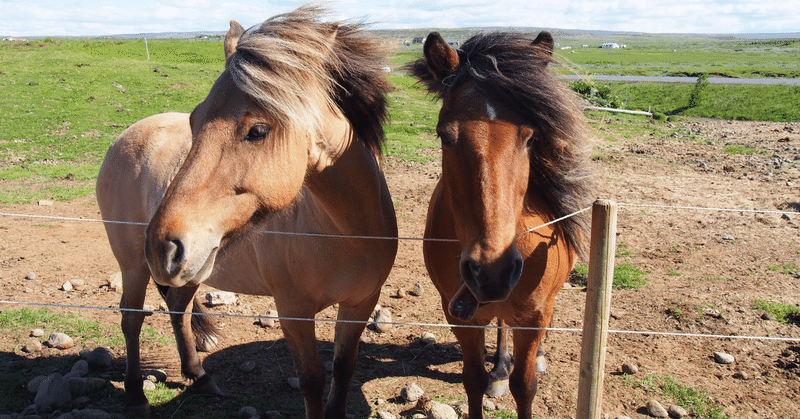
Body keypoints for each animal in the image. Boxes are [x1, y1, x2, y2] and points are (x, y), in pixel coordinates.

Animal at [97, 7, 396, 419]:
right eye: (194, 121)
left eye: (257, 130)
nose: (162, 247)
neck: (346, 233)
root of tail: (123, 138)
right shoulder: (293, 311)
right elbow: (312, 380)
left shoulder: (359, 305)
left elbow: (343, 370)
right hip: (133, 265)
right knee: (131, 319)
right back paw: (136, 396)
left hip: (191, 269)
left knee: (178, 308)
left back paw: (200, 378)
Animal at [412, 31, 592, 418]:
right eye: (444, 136)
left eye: (530, 137)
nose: (491, 271)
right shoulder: (460, 316)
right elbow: (473, 381)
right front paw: (493, 372)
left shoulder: (535, 315)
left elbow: (524, 386)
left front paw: (526, 367)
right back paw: (499, 366)